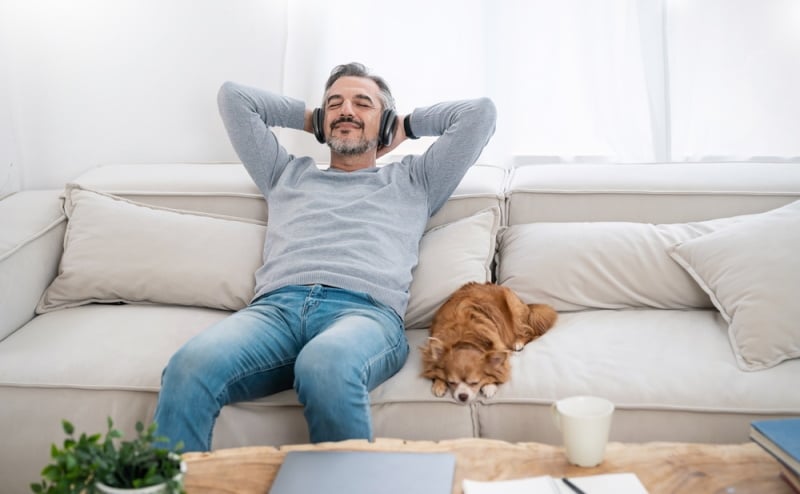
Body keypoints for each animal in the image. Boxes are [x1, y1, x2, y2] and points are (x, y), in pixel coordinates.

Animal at [418, 284, 556, 404]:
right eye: (451, 382)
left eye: (475, 383)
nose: (462, 396)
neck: (464, 339)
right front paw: (439, 384)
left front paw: (489, 386)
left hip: (515, 312)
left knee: (529, 333)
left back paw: (518, 342)